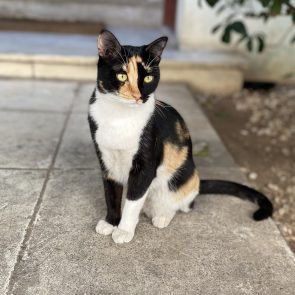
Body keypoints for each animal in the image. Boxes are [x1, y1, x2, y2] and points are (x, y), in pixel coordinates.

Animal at [88, 29, 272, 245]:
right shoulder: (106, 160)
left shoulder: (145, 165)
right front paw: (110, 222)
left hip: (180, 179)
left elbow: (133, 200)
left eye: (148, 79)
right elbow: (111, 195)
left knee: (183, 205)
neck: (119, 117)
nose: (138, 97)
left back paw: (162, 216)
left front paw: (124, 230)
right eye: (122, 75)